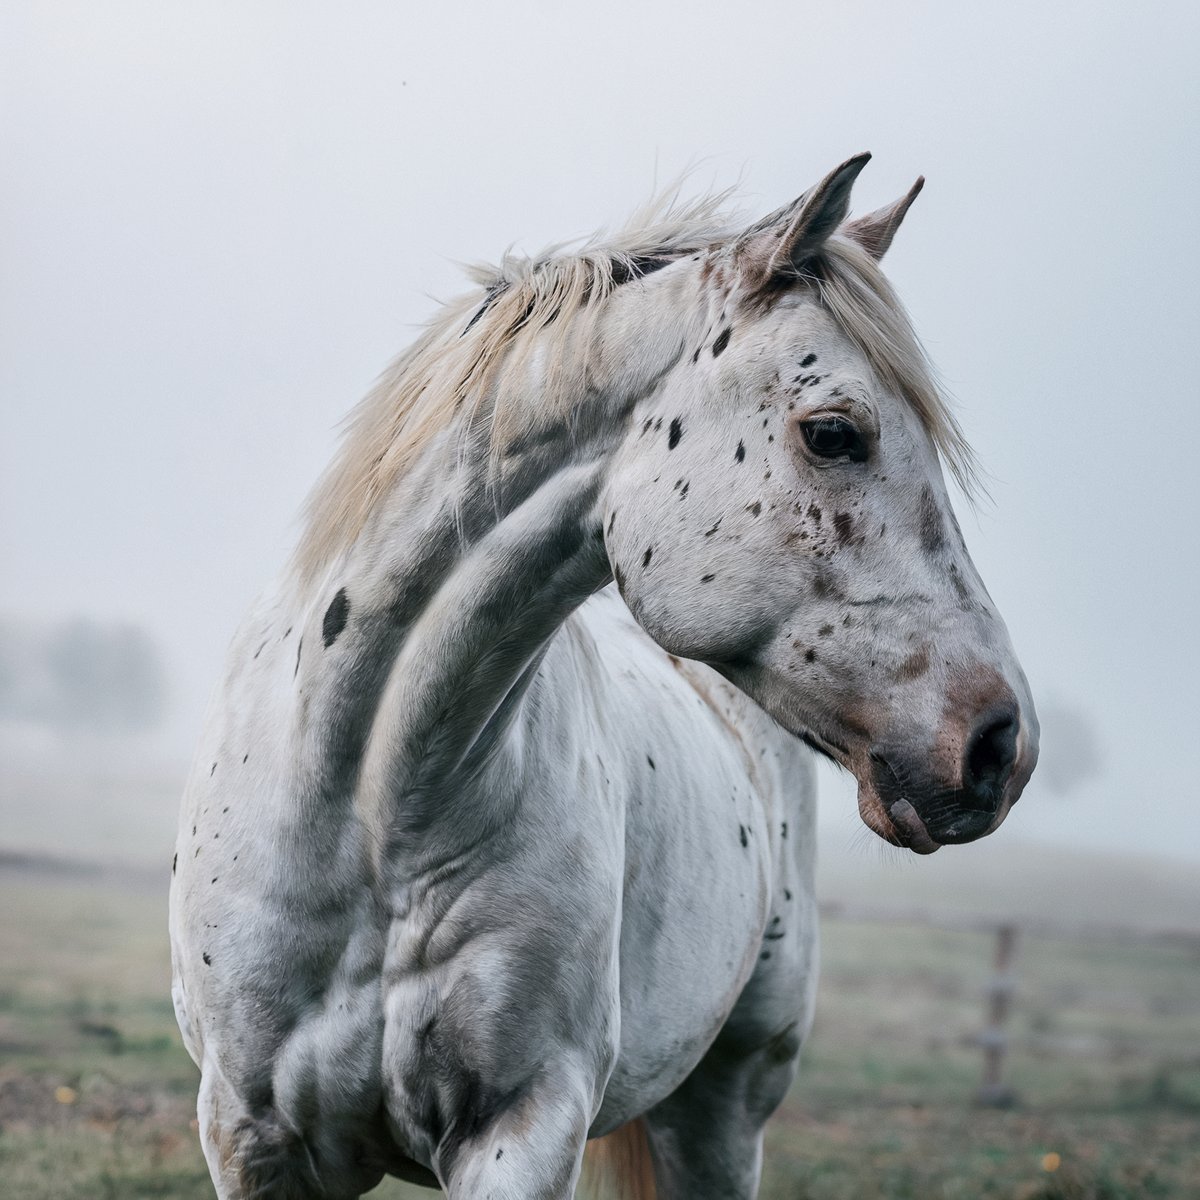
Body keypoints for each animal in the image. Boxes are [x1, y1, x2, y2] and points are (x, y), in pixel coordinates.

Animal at [171, 152, 1041, 1200]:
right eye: (835, 432)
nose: (1000, 742)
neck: (373, 816)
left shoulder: (522, 1127)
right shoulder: (252, 1135)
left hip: (723, 1111)